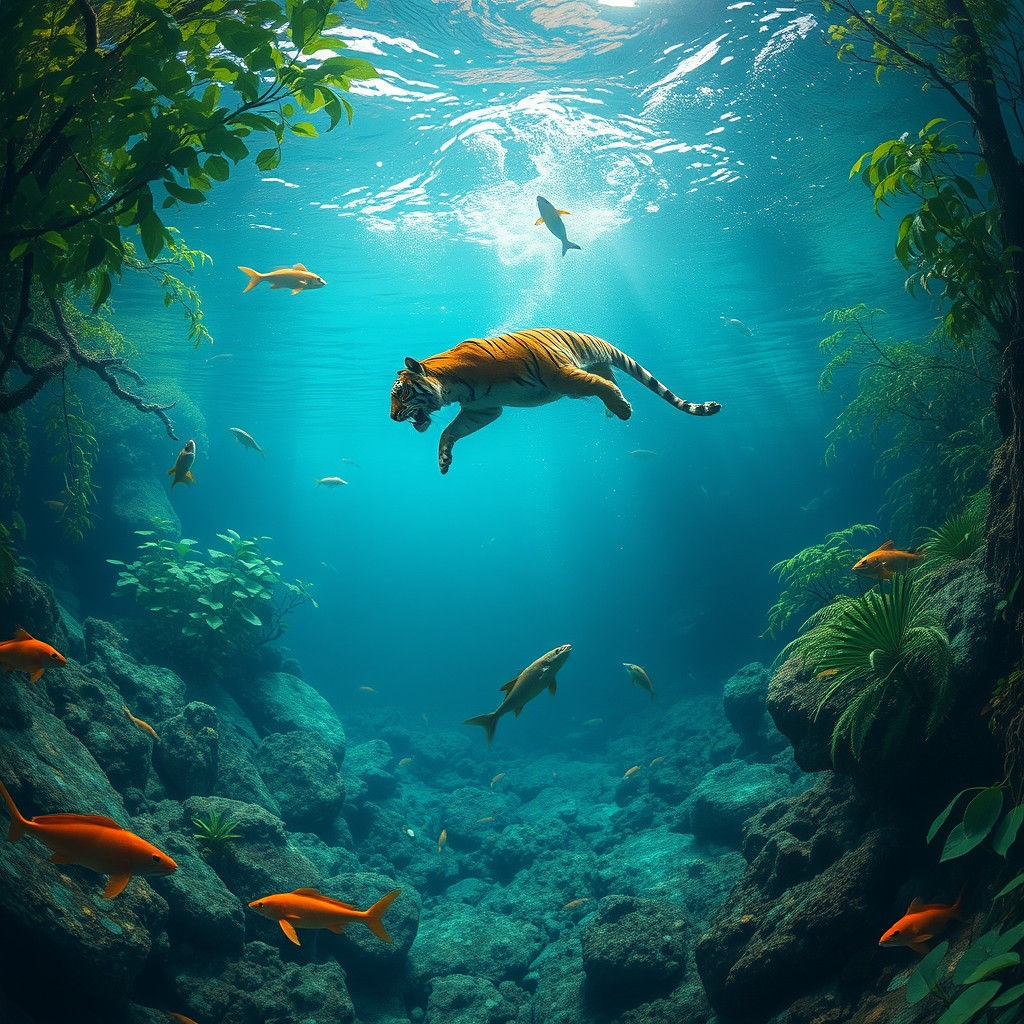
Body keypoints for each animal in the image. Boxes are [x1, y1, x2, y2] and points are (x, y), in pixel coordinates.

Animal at [389, 328, 721, 474]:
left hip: (573, 376)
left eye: (400, 394)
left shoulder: (558, 373)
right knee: (606, 378)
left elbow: (598, 385)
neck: (453, 387)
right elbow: (449, 431)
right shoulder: (483, 409)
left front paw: (624, 410)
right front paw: (443, 460)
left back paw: (617, 408)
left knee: (603, 382)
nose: (392, 418)